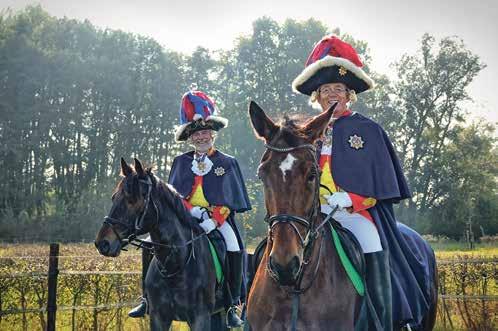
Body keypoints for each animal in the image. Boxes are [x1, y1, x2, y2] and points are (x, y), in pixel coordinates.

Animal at [95, 158, 228, 331]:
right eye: (114, 198)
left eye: (132, 200)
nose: (103, 243)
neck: (175, 265)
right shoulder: (158, 318)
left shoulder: (200, 318)